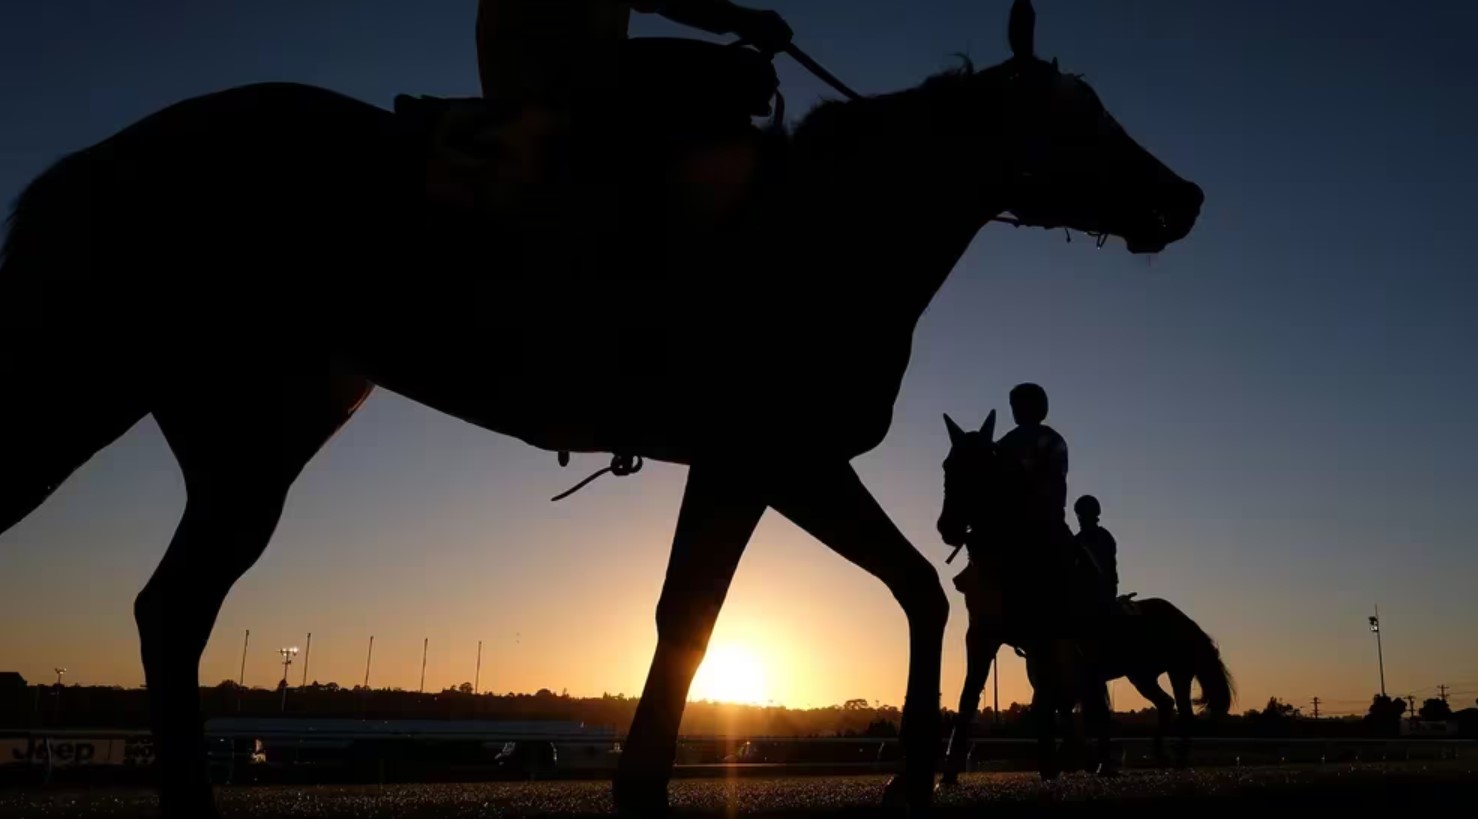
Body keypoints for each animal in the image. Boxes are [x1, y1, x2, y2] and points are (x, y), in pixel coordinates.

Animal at [0, 3, 1200, 810]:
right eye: (1082, 116)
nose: (1184, 196)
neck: (824, 232)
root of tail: (97, 159)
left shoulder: (781, 464)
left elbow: (888, 593)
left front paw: (891, 778)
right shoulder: (763, 459)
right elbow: (708, 614)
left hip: (254, 441)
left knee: (174, 606)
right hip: (83, 387)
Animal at [934, 408, 1235, 780]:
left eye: (982, 467)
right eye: (948, 465)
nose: (947, 527)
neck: (1015, 561)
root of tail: (1183, 618)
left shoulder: (1047, 643)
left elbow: (1056, 706)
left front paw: (1056, 763)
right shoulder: (983, 635)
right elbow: (971, 694)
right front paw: (950, 769)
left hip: (1178, 669)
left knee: (1182, 709)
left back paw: (1174, 757)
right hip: (1142, 672)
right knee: (1163, 703)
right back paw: (1156, 754)